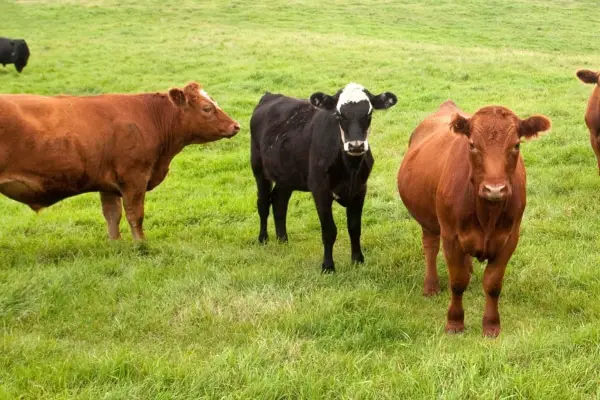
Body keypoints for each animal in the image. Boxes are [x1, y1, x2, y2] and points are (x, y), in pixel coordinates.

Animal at [0, 83, 239, 241]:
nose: (235, 125)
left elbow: (112, 215)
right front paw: (141, 244)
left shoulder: (107, 183)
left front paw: (116, 244)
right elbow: (135, 214)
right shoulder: (134, 178)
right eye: (207, 108)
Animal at [250, 83, 396, 274]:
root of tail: (270, 95)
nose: (356, 145)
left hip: (286, 176)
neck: (350, 169)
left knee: (279, 203)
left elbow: (354, 227)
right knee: (263, 203)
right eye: (339, 115)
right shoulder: (320, 190)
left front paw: (358, 260)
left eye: (369, 114)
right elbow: (329, 230)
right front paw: (328, 266)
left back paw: (283, 240)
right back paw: (263, 239)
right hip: (258, 168)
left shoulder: (360, 189)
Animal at [396, 101, 552, 338]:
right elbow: (457, 281)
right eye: (472, 145)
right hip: (429, 221)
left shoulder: (510, 238)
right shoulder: (450, 237)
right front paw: (455, 322)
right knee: (430, 247)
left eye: (516, 145)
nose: (494, 189)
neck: (487, 214)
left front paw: (491, 325)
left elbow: (493, 283)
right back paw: (431, 286)